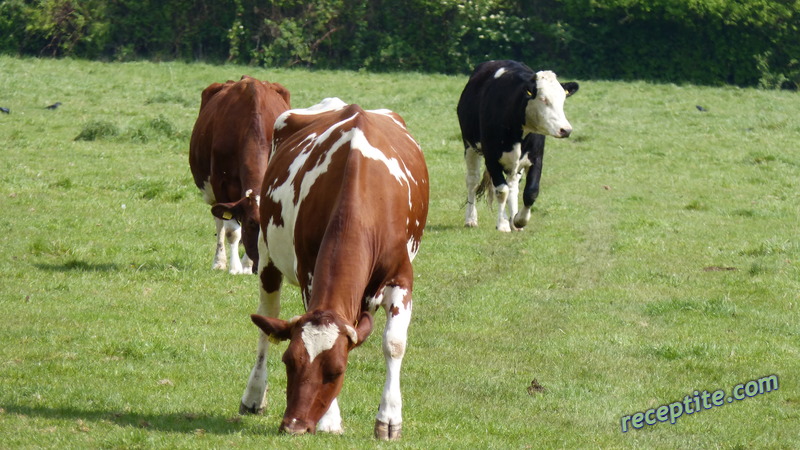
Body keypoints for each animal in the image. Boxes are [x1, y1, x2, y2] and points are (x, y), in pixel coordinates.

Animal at [189, 74, 292, 274]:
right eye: (252, 223)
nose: (264, 264)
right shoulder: (220, 182)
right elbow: (231, 231)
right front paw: (235, 267)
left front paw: (247, 265)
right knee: (219, 223)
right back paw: (219, 261)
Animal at [238, 97, 428, 440]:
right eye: (289, 361)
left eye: (337, 370)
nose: (294, 425)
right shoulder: (308, 275)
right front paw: (330, 420)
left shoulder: (401, 277)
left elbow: (394, 344)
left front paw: (389, 419)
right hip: (267, 255)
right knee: (266, 322)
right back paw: (254, 395)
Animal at [460, 59, 580, 232]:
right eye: (543, 99)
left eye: (562, 100)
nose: (566, 130)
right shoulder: (491, 158)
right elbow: (501, 190)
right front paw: (503, 223)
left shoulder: (536, 158)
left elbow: (531, 192)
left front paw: (519, 220)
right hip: (469, 145)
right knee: (473, 181)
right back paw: (471, 218)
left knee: (513, 186)